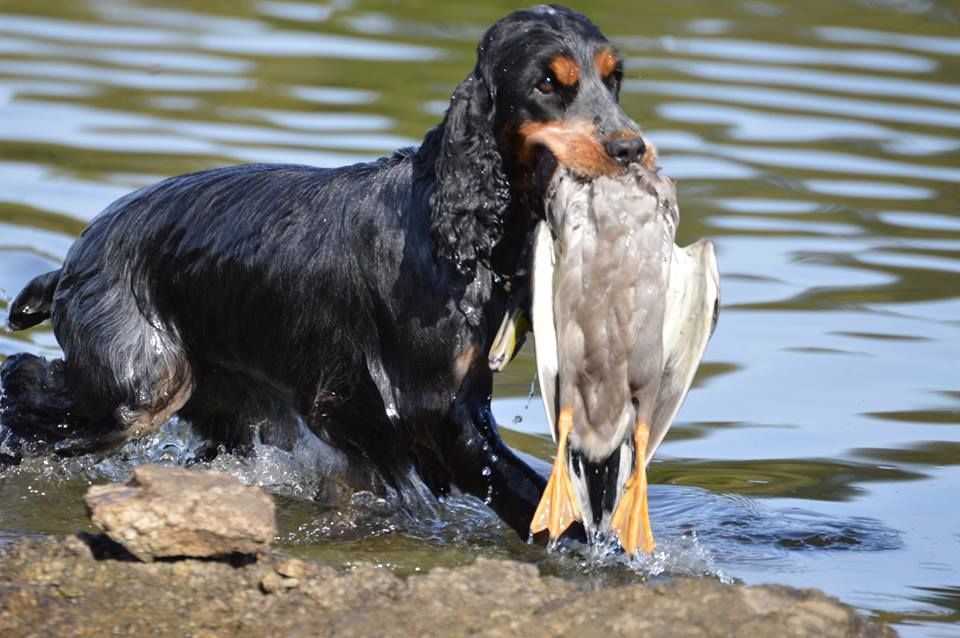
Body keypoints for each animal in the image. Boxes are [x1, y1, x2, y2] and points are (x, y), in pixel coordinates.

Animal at [0, 5, 652, 540]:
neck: (454, 222)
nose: (630, 149)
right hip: (141, 386)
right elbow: (532, 497)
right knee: (26, 387)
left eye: (614, 78)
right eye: (547, 83)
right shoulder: (439, 413)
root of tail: (78, 255)